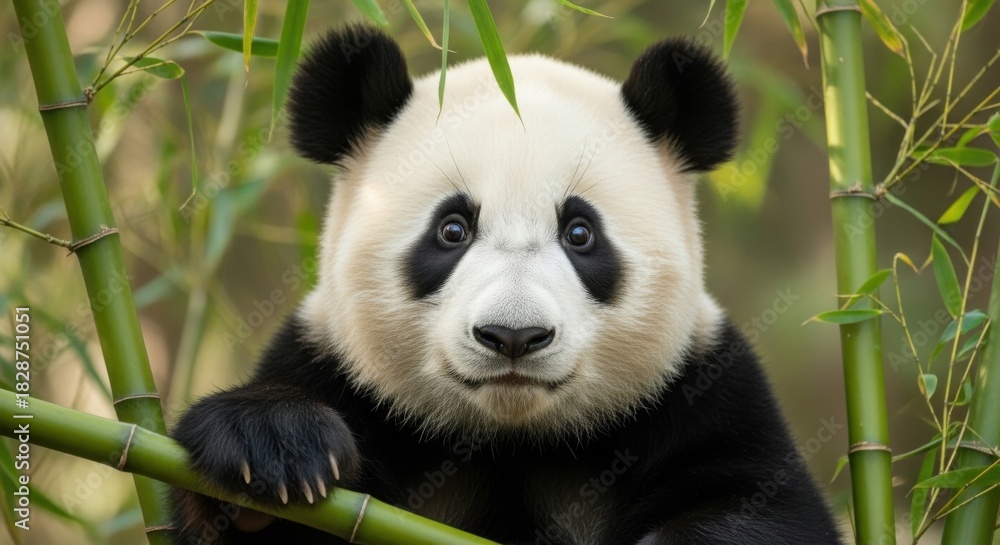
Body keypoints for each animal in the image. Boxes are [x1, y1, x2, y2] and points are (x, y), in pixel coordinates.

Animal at [170, 24, 842, 545]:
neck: (511, 440)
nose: (513, 336)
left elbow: (766, 508)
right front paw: (274, 452)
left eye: (579, 233)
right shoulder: (335, 370)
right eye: (452, 230)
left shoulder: (704, 392)